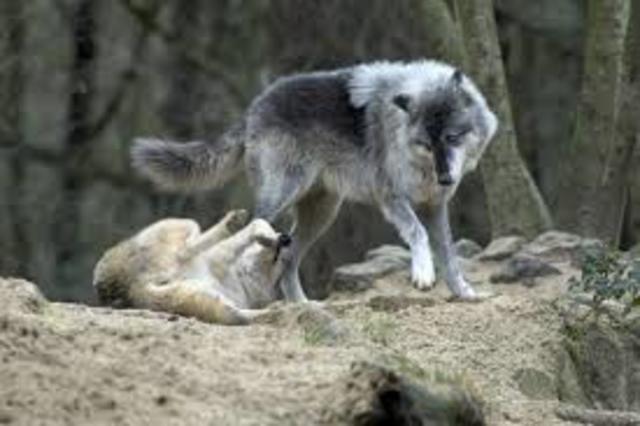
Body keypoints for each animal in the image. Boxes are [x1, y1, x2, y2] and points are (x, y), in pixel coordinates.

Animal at [93, 210, 292, 325]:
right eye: (279, 262)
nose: (286, 240)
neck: (241, 279)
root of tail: (133, 287)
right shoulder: (222, 254)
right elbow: (258, 222)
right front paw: (267, 236)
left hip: (193, 297)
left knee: (238, 316)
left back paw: (278, 310)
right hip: (184, 223)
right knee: (187, 249)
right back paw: (233, 221)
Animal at [132, 60, 498, 302]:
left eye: (451, 138)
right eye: (425, 144)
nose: (445, 177)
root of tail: (255, 106)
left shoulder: (435, 205)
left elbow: (448, 253)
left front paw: (464, 292)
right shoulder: (391, 198)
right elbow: (418, 233)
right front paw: (422, 274)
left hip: (322, 214)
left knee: (288, 258)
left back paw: (302, 307)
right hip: (282, 197)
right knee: (252, 231)